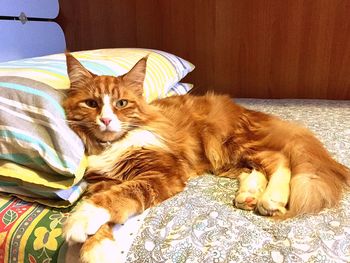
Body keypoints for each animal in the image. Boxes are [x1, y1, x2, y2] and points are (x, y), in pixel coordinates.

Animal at [61, 53, 348, 263]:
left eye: (121, 104)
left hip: (227, 142)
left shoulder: (162, 171)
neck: (110, 146)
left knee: (279, 160)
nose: (106, 120)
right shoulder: (101, 181)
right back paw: (249, 196)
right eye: (91, 104)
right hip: (226, 157)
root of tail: (250, 112)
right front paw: (95, 249)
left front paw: (78, 223)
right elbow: (102, 211)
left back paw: (271, 198)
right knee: (254, 169)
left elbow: (115, 198)